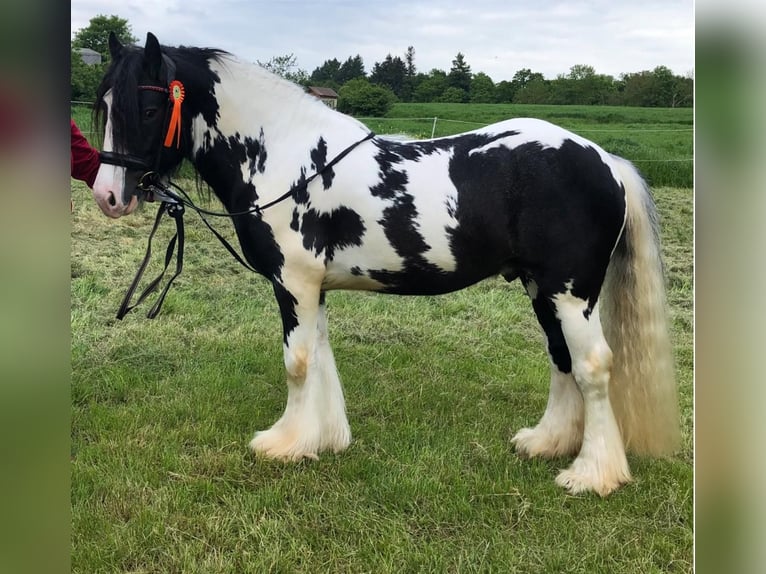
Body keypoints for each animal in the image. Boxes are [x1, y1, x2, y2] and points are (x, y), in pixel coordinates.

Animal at [93, 32, 680, 500]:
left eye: (148, 111)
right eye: (105, 104)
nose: (108, 195)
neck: (286, 156)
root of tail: (605, 161)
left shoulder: (293, 283)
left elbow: (298, 363)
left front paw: (284, 443)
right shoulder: (313, 288)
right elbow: (321, 358)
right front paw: (323, 438)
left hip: (571, 291)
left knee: (593, 367)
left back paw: (592, 474)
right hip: (542, 290)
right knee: (561, 360)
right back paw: (545, 443)